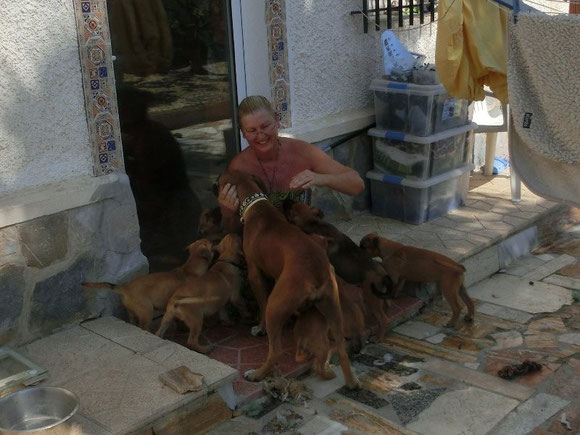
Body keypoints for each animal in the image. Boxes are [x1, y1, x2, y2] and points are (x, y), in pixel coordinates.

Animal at [82, 238, 214, 330]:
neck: (190, 269)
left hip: (132, 312)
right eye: (210, 244)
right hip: (147, 311)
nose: (214, 240)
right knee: (143, 327)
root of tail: (126, 288)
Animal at [219, 169, 358, 388]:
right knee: (342, 348)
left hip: (275, 307)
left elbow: (260, 303)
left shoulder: (255, 274)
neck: (257, 207)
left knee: (275, 351)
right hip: (334, 310)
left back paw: (256, 374)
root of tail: (315, 273)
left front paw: (259, 328)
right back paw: (351, 382)